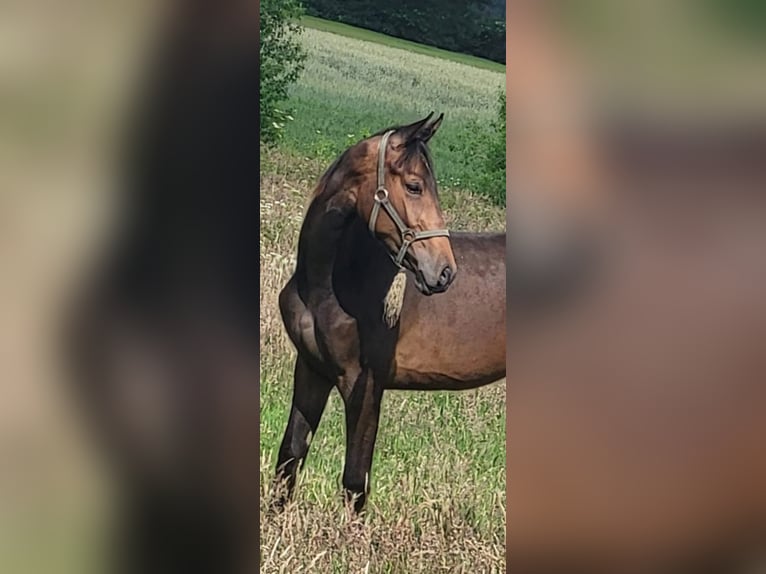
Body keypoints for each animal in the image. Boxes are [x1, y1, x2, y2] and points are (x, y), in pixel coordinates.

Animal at [273, 113, 506, 512]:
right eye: (414, 186)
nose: (444, 271)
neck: (326, 284)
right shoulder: (311, 369)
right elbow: (289, 456)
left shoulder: (364, 382)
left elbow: (355, 481)